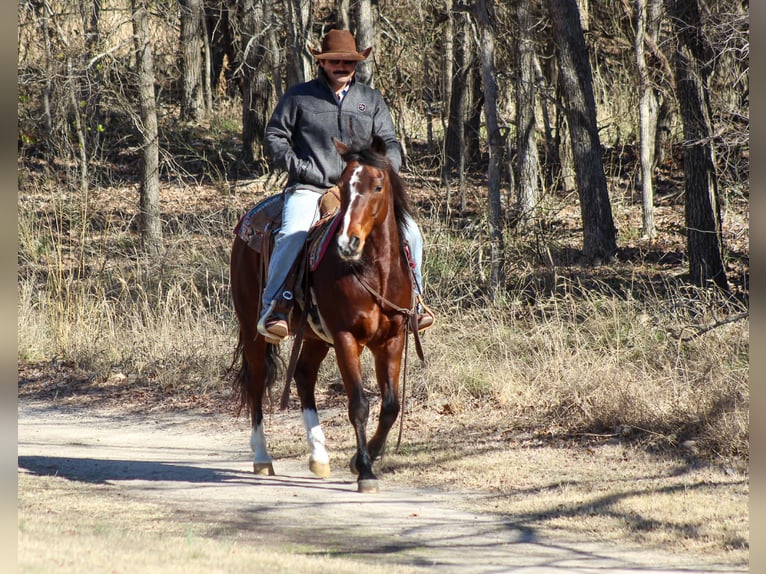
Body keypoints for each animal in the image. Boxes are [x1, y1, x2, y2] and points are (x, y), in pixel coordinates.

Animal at [229, 136, 417, 493]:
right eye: (344, 187)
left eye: (377, 186)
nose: (348, 243)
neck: (376, 272)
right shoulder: (346, 337)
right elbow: (359, 404)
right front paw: (365, 471)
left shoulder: (392, 339)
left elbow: (390, 406)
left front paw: (363, 458)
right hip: (252, 328)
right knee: (257, 382)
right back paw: (262, 457)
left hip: (316, 336)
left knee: (303, 375)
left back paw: (319, 456)